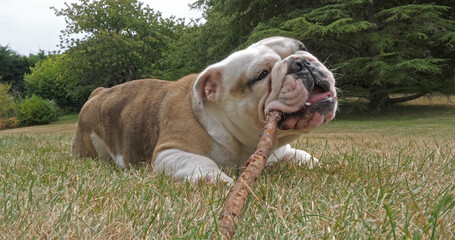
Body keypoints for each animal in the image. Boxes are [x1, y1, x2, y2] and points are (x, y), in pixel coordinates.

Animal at [73, 36, 338, 185]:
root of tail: (98, 93)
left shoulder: (281, 151)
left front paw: (319, 164)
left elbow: (304, 156)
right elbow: (202, 163)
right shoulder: (169, 153)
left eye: (302, 46)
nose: (300, 61)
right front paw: (217, 180)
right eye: (261, 75)